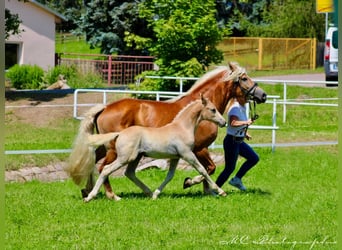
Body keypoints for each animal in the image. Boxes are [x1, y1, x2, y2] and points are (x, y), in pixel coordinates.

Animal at [81, 94, 227, 202]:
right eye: (213, 109)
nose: (224, 122)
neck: (182, 128)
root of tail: (120, 134)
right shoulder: (188, 154)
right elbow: (203, 170)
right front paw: (220, 191)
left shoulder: (175, 157)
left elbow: (169, 176)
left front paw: (157, 193)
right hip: (125, 158)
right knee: (106, 169)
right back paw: (93, 196)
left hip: (135, 158)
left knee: (129, 173)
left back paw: (149, 193)